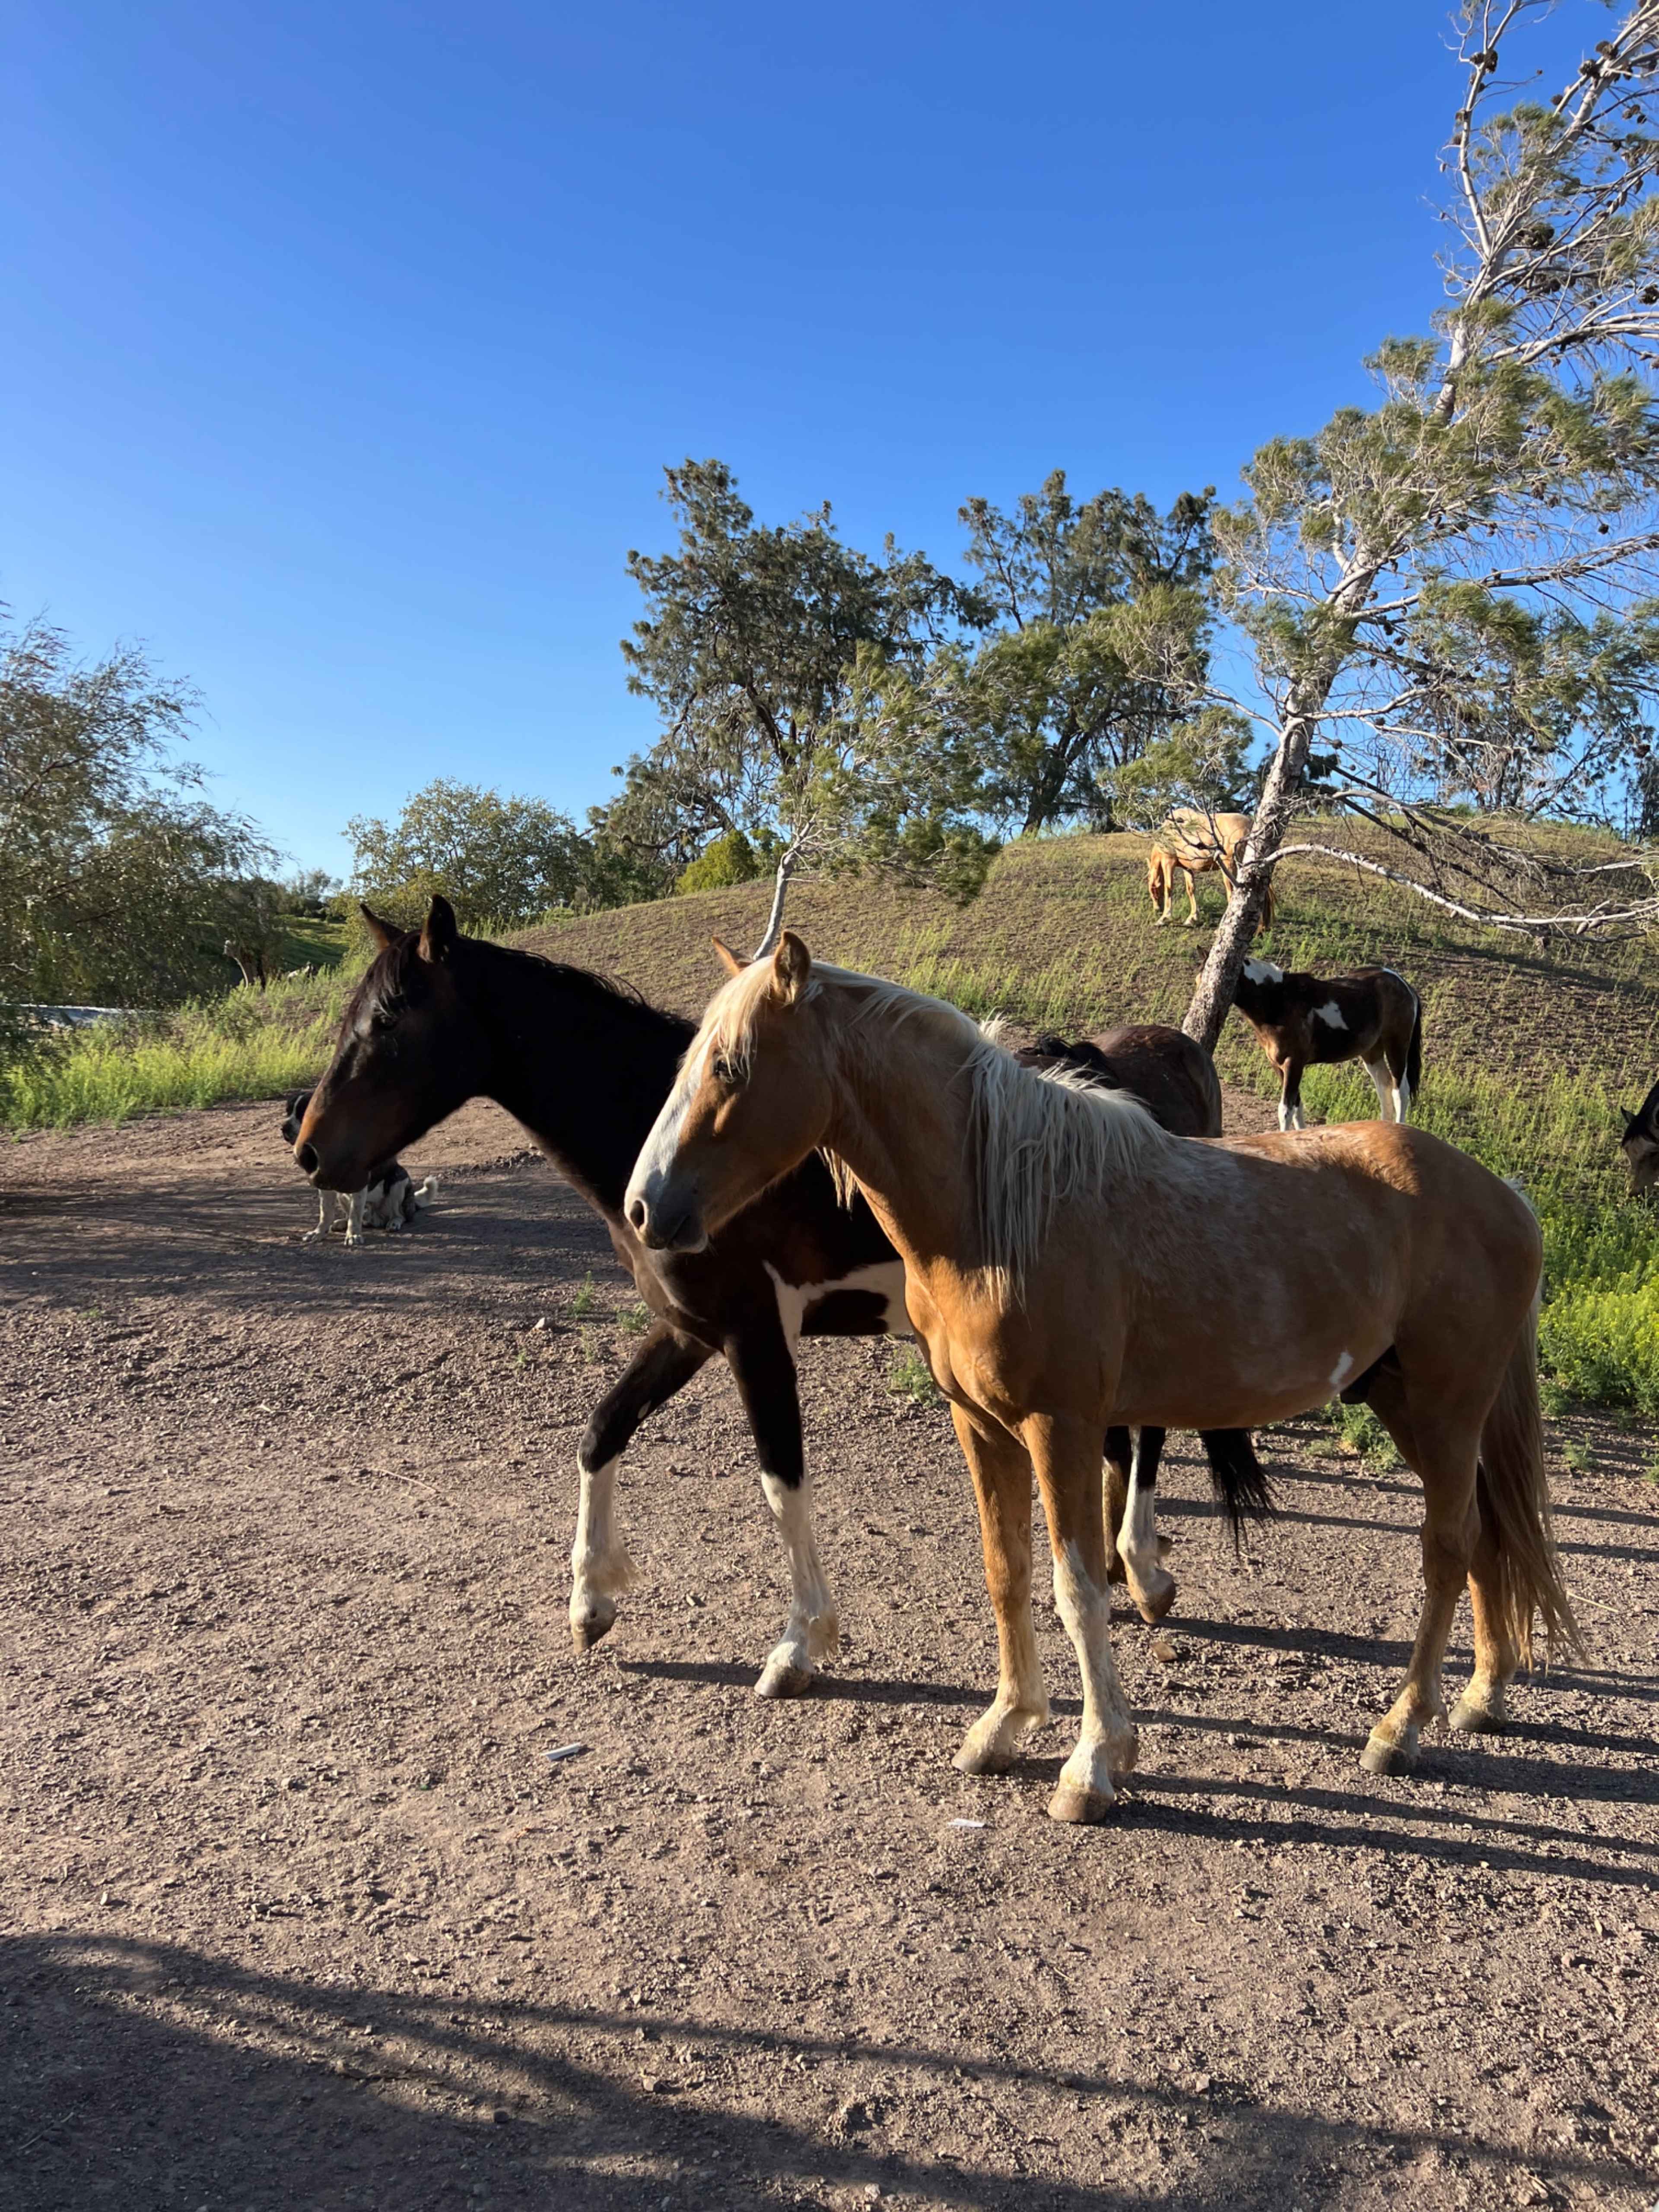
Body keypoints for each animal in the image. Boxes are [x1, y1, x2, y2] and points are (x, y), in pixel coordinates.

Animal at [289, 898, 1258, 1692]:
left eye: (387, 1019)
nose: (308, 1151)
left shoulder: (756, 1338)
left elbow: (780, 1481)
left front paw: (800, 1645)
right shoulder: (688, 1330)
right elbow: (601, 1433)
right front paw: (591, 1602)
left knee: (1148, 1431)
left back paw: (1143, 1568)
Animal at [1147, 809, 1275, 933]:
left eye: (1153, 890)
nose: (1157, 909)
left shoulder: (1169, 862)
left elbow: (1169, 888)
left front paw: (1164, 918)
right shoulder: (1187, 868)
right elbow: (1191, 889)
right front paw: (1193, 918)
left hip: (1231, 867)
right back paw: (1262, 928)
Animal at [1233, 958, 1423, 1131]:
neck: (1278, 1000)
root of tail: (1404, 985)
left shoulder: (1294, 1063)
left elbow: (1286, 1110)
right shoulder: (1278, 1064)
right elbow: (1297, 1107)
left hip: (1396, 1045)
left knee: (1400, 1092)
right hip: (1372, 1053)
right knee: (1384, 1087)